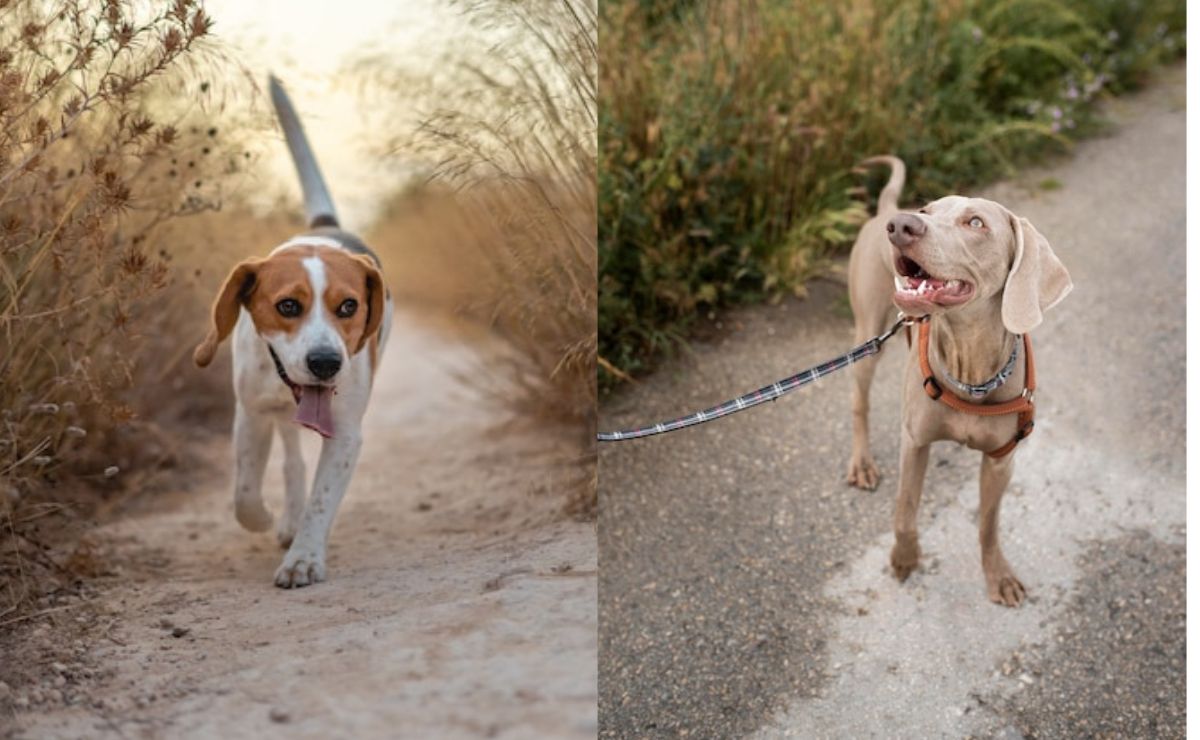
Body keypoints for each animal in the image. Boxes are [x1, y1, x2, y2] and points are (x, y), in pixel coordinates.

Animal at [189, 77, 391, 587]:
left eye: (349, 306)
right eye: (287, 306)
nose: (325, 363)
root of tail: (327, 226)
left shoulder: (345, 434)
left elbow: (322, 502)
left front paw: (304, 557)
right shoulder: (250, 412)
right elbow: (243, 491)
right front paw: (262, 518)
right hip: (276, 414)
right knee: (293, 459)